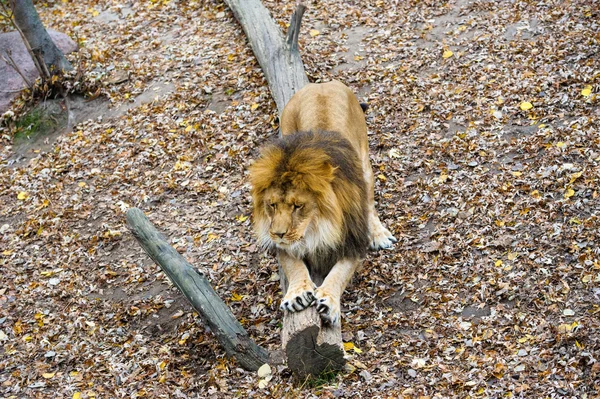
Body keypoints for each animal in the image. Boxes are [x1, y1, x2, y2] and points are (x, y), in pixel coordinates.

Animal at [247, 79, 394, 326]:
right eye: (272, 205)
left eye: (298, 206)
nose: (278, 234)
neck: (317, 224)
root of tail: (323, 83)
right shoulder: (283, 244)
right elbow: (294, 265)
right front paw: (297, 294)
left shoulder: (352, 240)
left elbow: (339, 273)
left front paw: (329, 301)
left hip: (364, 164)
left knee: (370, 202)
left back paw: (379, 234)